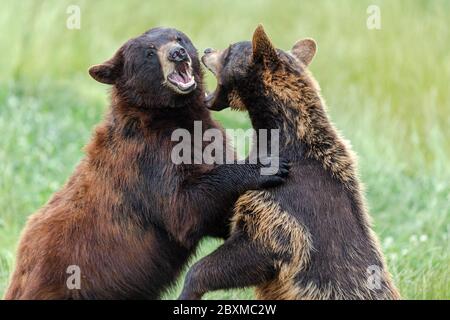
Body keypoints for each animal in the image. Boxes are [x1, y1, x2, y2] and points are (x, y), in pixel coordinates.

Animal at [4, 27, 288, 300]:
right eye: (149, 53)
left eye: (178, 37)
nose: (177, 53)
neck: (170, 116)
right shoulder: (145, 159)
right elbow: (182, 207)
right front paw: (264, 165)